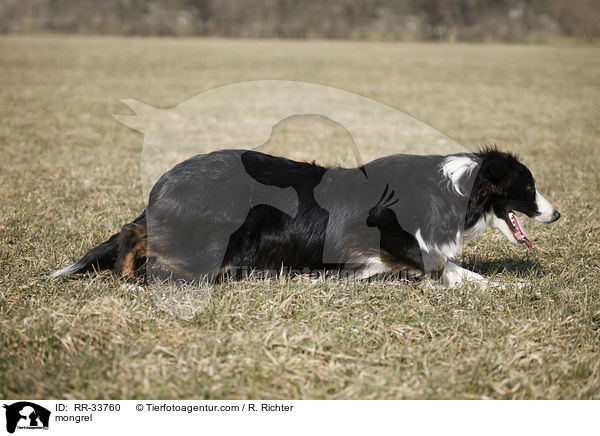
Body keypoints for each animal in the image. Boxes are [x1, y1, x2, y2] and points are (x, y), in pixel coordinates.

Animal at [50, 146, 556, 286]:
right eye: (530, 188)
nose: (557, 214)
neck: (453, 188)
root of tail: (167, 178)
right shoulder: (391, 237)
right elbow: (445, 265)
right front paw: (506, 287)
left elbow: (447, 263)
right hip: (225, 238)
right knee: (135, 235)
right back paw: (126, 273)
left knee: (136, 232)